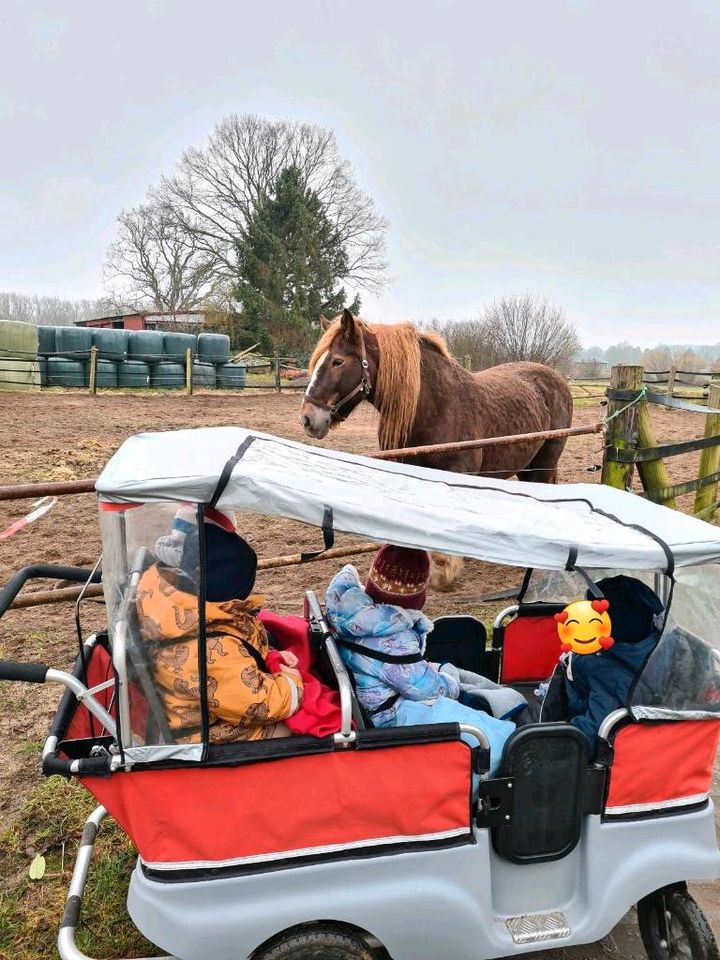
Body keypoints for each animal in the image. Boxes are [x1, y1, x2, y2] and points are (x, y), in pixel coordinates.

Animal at [298, 312, 572, 584]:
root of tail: (556, 379)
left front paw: (445, 570)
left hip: (545, 462)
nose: (308, 419)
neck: (436, 407)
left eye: (337, 361)